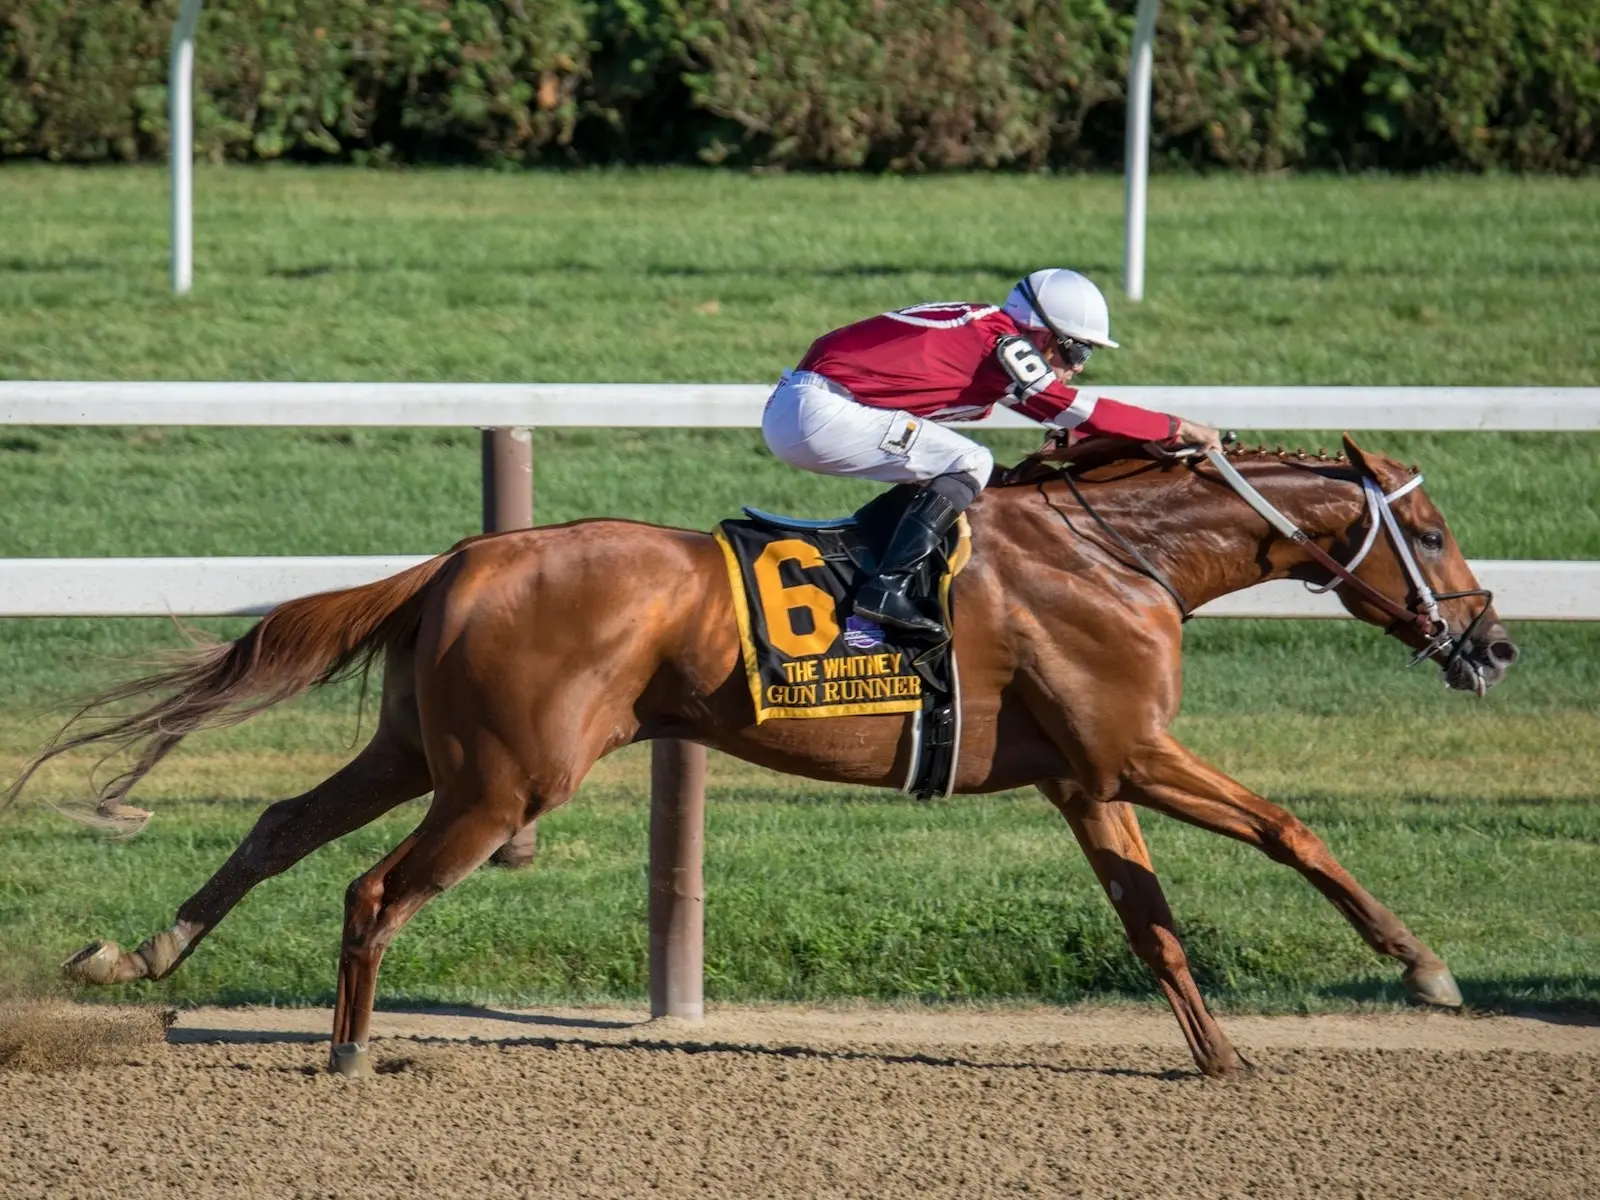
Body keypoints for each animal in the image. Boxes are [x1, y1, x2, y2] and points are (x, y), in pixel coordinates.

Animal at [12, 438, 1510, 1075]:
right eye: (1432, 534)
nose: (1491, 641)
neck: (1117, 554)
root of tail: (464, 558)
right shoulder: (1129, 756)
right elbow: (1288, 831)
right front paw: (1426, 969)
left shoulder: (1089, 779)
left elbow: (1153, 926)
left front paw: (1220, 1061)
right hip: (503, 780)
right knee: (374, 892)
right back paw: (344, 1059)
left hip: (421, 753)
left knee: (279, 823)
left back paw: (134, 957)